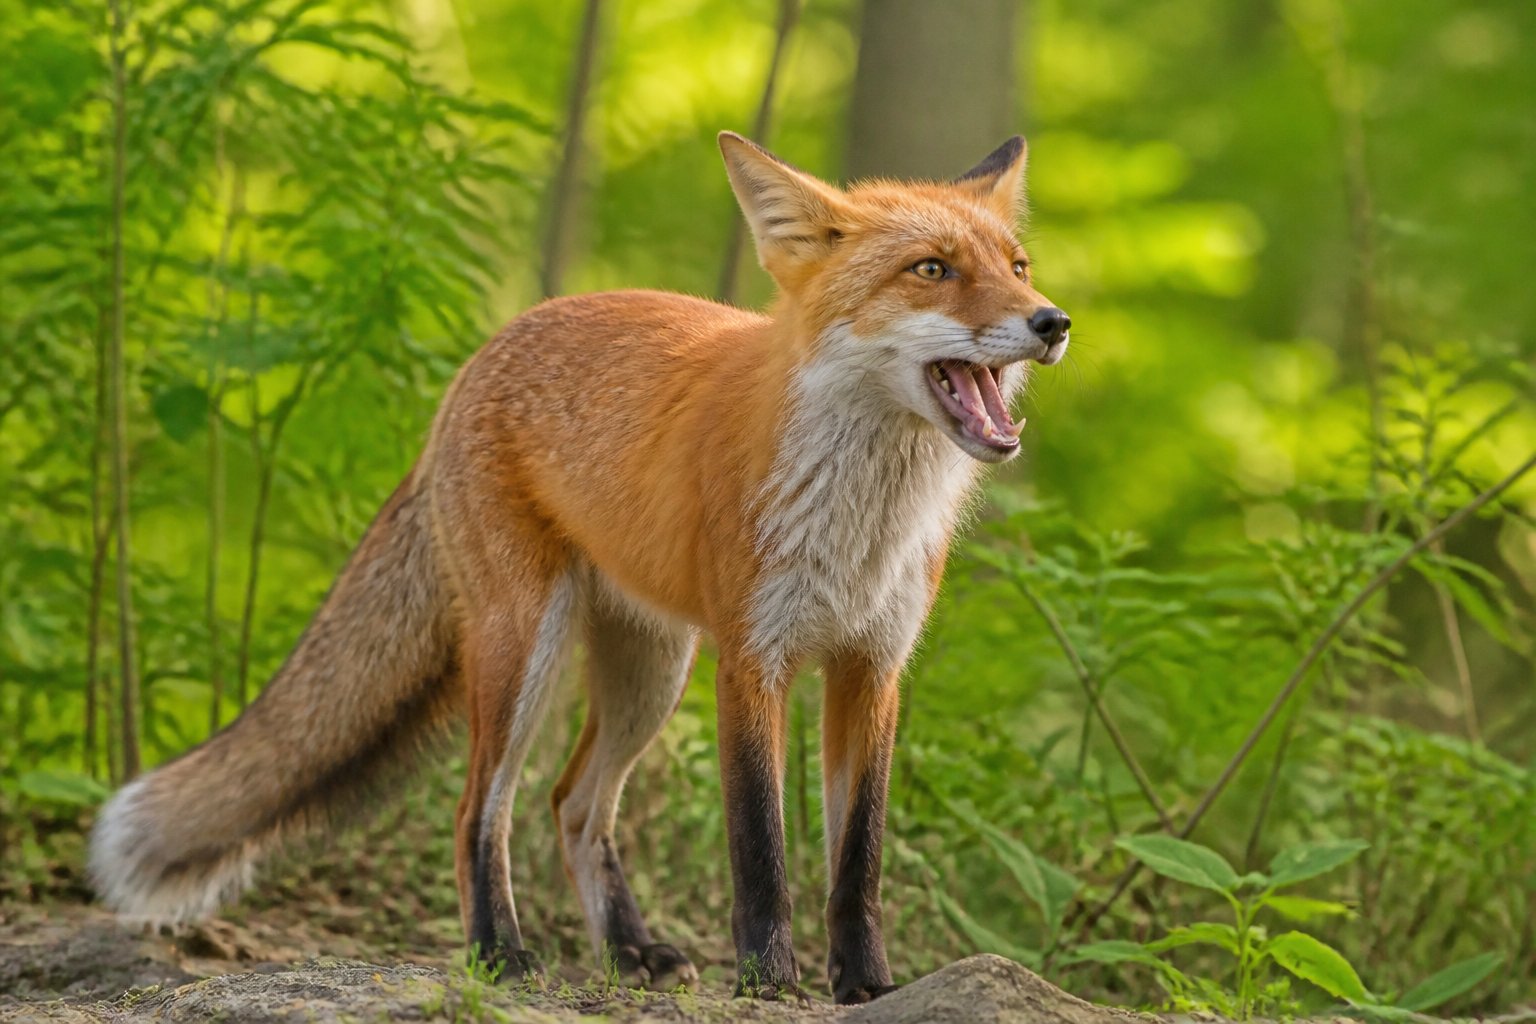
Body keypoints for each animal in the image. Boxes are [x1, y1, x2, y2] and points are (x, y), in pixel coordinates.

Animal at [88, 131, 1069, 1003]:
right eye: (932, 270)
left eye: (1018, 266)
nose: (1053, 321)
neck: (865, 520)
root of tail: (485, 354)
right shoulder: (752, 659)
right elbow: (759, 844)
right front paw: (767, 979)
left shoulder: (872, 667)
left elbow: (857, 859)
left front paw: (865, 982)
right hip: (524, 649)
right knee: (480, 811)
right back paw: (501, 955)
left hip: (650, 674)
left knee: (573, 803)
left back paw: (630, 951)